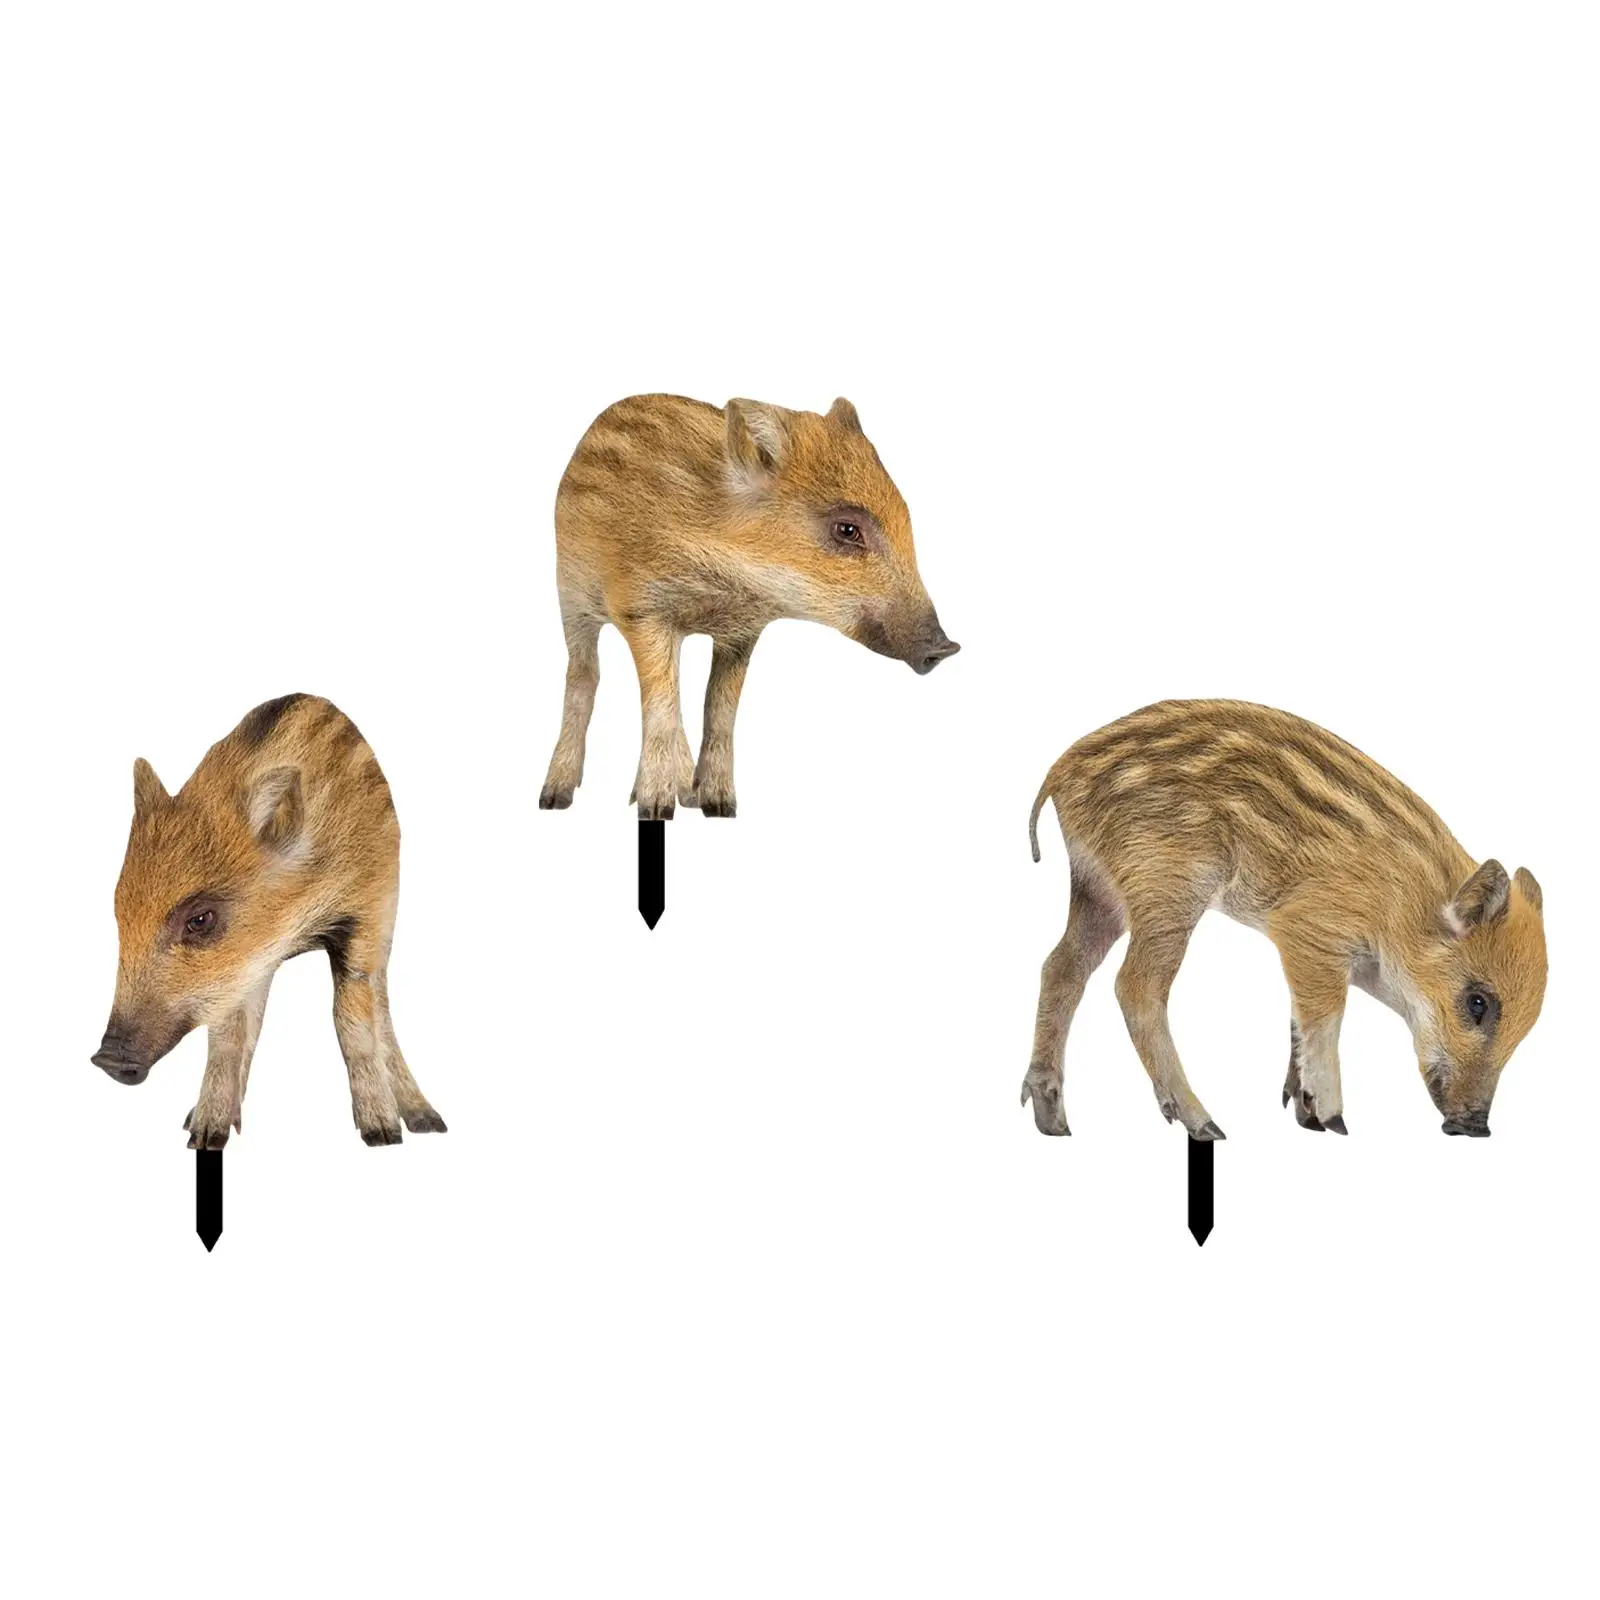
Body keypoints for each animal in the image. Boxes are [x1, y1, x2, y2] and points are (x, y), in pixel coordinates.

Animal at [91, 694, 447, 1149]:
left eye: (200, 919)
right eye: (118, 913)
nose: (108, 1058)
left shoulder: (365, 913)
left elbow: (352, 1020)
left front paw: (383, 1136)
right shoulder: (240, 967)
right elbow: (229, 1035)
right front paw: (203, 1137)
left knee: (380, 1006)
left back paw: (427, 1122)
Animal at [538, 393, 959, 819]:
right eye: (847, 529)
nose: (946, 647)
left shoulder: (741, 633)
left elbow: (720, 711)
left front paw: (719, 807)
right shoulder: (644, 611)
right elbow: (660, 706)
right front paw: (655, 810)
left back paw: (687, 796)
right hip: (569, 600)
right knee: (584, 676)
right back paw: (555, 798)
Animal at [1022, 700, 1547, 1140]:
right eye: (1477, 1003)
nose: (1475, 1128)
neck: (1403, 910)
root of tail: (1058, 772)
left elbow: (1296, 1017)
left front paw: (1306, 1116)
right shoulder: (1307, 929)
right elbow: (1323, 1016)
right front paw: (1334, 1123)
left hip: (1099, 890)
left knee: (1061, 967)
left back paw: (1055, 1123)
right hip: (1167, 886)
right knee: (1134, 986)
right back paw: (1206, 1125)